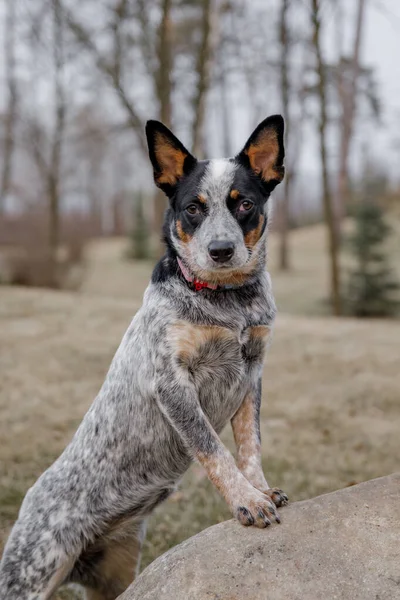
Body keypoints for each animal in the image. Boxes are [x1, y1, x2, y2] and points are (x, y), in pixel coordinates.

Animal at [0, 113, 288, 600]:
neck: (227, 301)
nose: (221, 251)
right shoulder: (172, 384)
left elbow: (250, 446)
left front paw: (261, 490)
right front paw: (246, 500)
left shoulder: (253, 375)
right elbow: (215, 450)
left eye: (244, 204)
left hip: (118, 573)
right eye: (193, 208)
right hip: (33, 571)